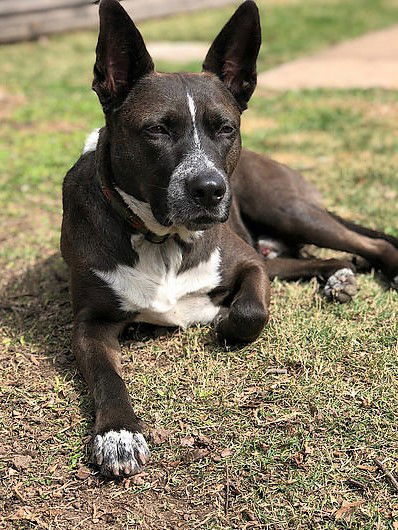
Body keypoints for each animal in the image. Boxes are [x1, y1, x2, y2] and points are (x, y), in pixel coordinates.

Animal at [59, 0, 398, 474]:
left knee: (368, 245)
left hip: (287, 210)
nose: (210, 189)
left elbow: (251, 312)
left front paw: (222, 319)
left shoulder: (249, 265)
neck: (162, 239)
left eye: (225, 128)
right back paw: (338, 278)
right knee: (326, 257)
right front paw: (118, 434)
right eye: (156, 129)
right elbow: (107, 376)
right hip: (278, 244)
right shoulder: (90, 323)